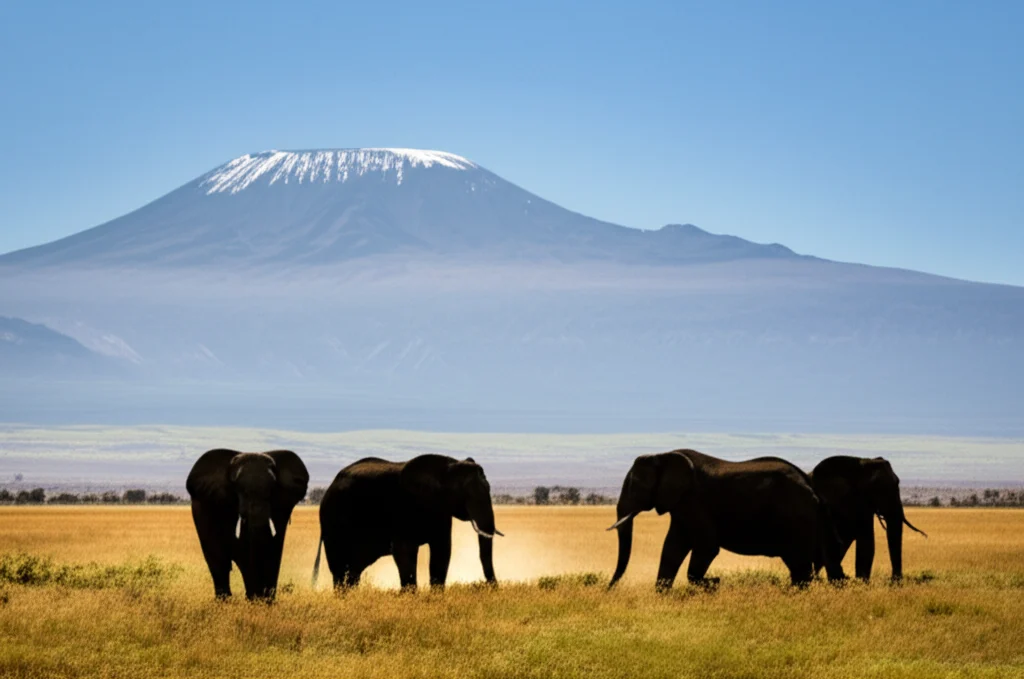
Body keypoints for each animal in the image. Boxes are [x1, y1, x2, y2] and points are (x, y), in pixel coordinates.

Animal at [186, 449, 309, 600]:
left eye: (271, 490)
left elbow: (273, 551)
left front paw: (265, 601)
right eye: (240, 490)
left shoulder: (281, 508)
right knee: (218, 560)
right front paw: (256, 599)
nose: (258, 596)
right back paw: (225, 600)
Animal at [313, 455, 502, 590]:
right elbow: (404, 552)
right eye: (466, 495)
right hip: (333, 521)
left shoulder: (441, 512)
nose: (490, 586)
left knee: (353, 570)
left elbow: (442, 551)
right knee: (340, 568)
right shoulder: (403, 508)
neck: (447, 466)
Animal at [608, 449, 844, 590]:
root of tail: (812, 487)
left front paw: (713, 583)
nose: (609, 589)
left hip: (795, 518)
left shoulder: (695, 502)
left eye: (634, 485)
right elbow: (672, 549)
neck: (664, 455)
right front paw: (663, 596)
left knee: (799, 566)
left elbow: (706, 547)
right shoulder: (681, 505)